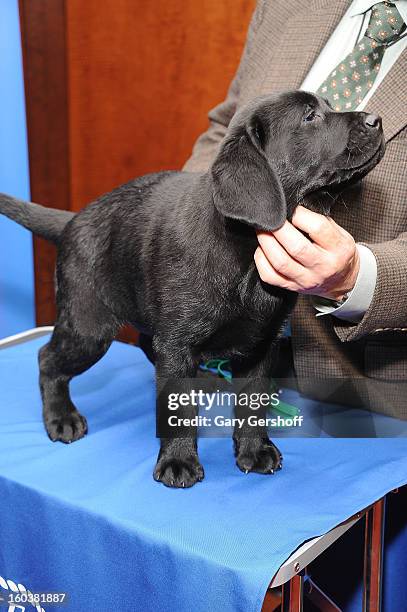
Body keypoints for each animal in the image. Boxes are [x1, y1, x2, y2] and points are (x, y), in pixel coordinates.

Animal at [0, 91, 384, 488]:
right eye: (310, 117)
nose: (376, 120)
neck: (245, 250)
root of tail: (72, 220)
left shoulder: (262, 343)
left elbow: (252, 401)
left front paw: (254, 450)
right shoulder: (177, 341)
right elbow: (178, 407)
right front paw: (179, 460)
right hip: (89, 326)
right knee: (47, 358)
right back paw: (61, 417)